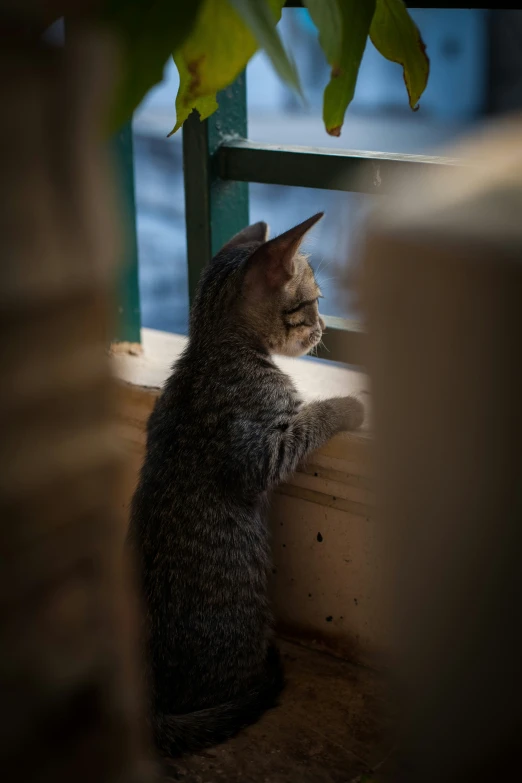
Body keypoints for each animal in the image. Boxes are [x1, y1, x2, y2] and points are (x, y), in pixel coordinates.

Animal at [127, 211, 364, 756]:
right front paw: (347, 405)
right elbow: (309, 419)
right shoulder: (259, 454)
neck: (212, 348)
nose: (324, 326)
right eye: (313, 302)